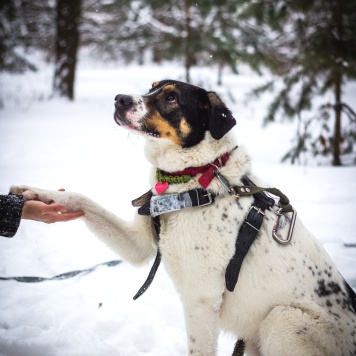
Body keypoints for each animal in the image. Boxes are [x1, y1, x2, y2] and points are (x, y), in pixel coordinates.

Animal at [11, 80, 356, 356]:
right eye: (151, 87)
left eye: (171, 97)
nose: (119, 98)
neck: (193, 179)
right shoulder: (139, 246)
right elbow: (81, 198)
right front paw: (35, 194)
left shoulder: (201, 300)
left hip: (281, 320)